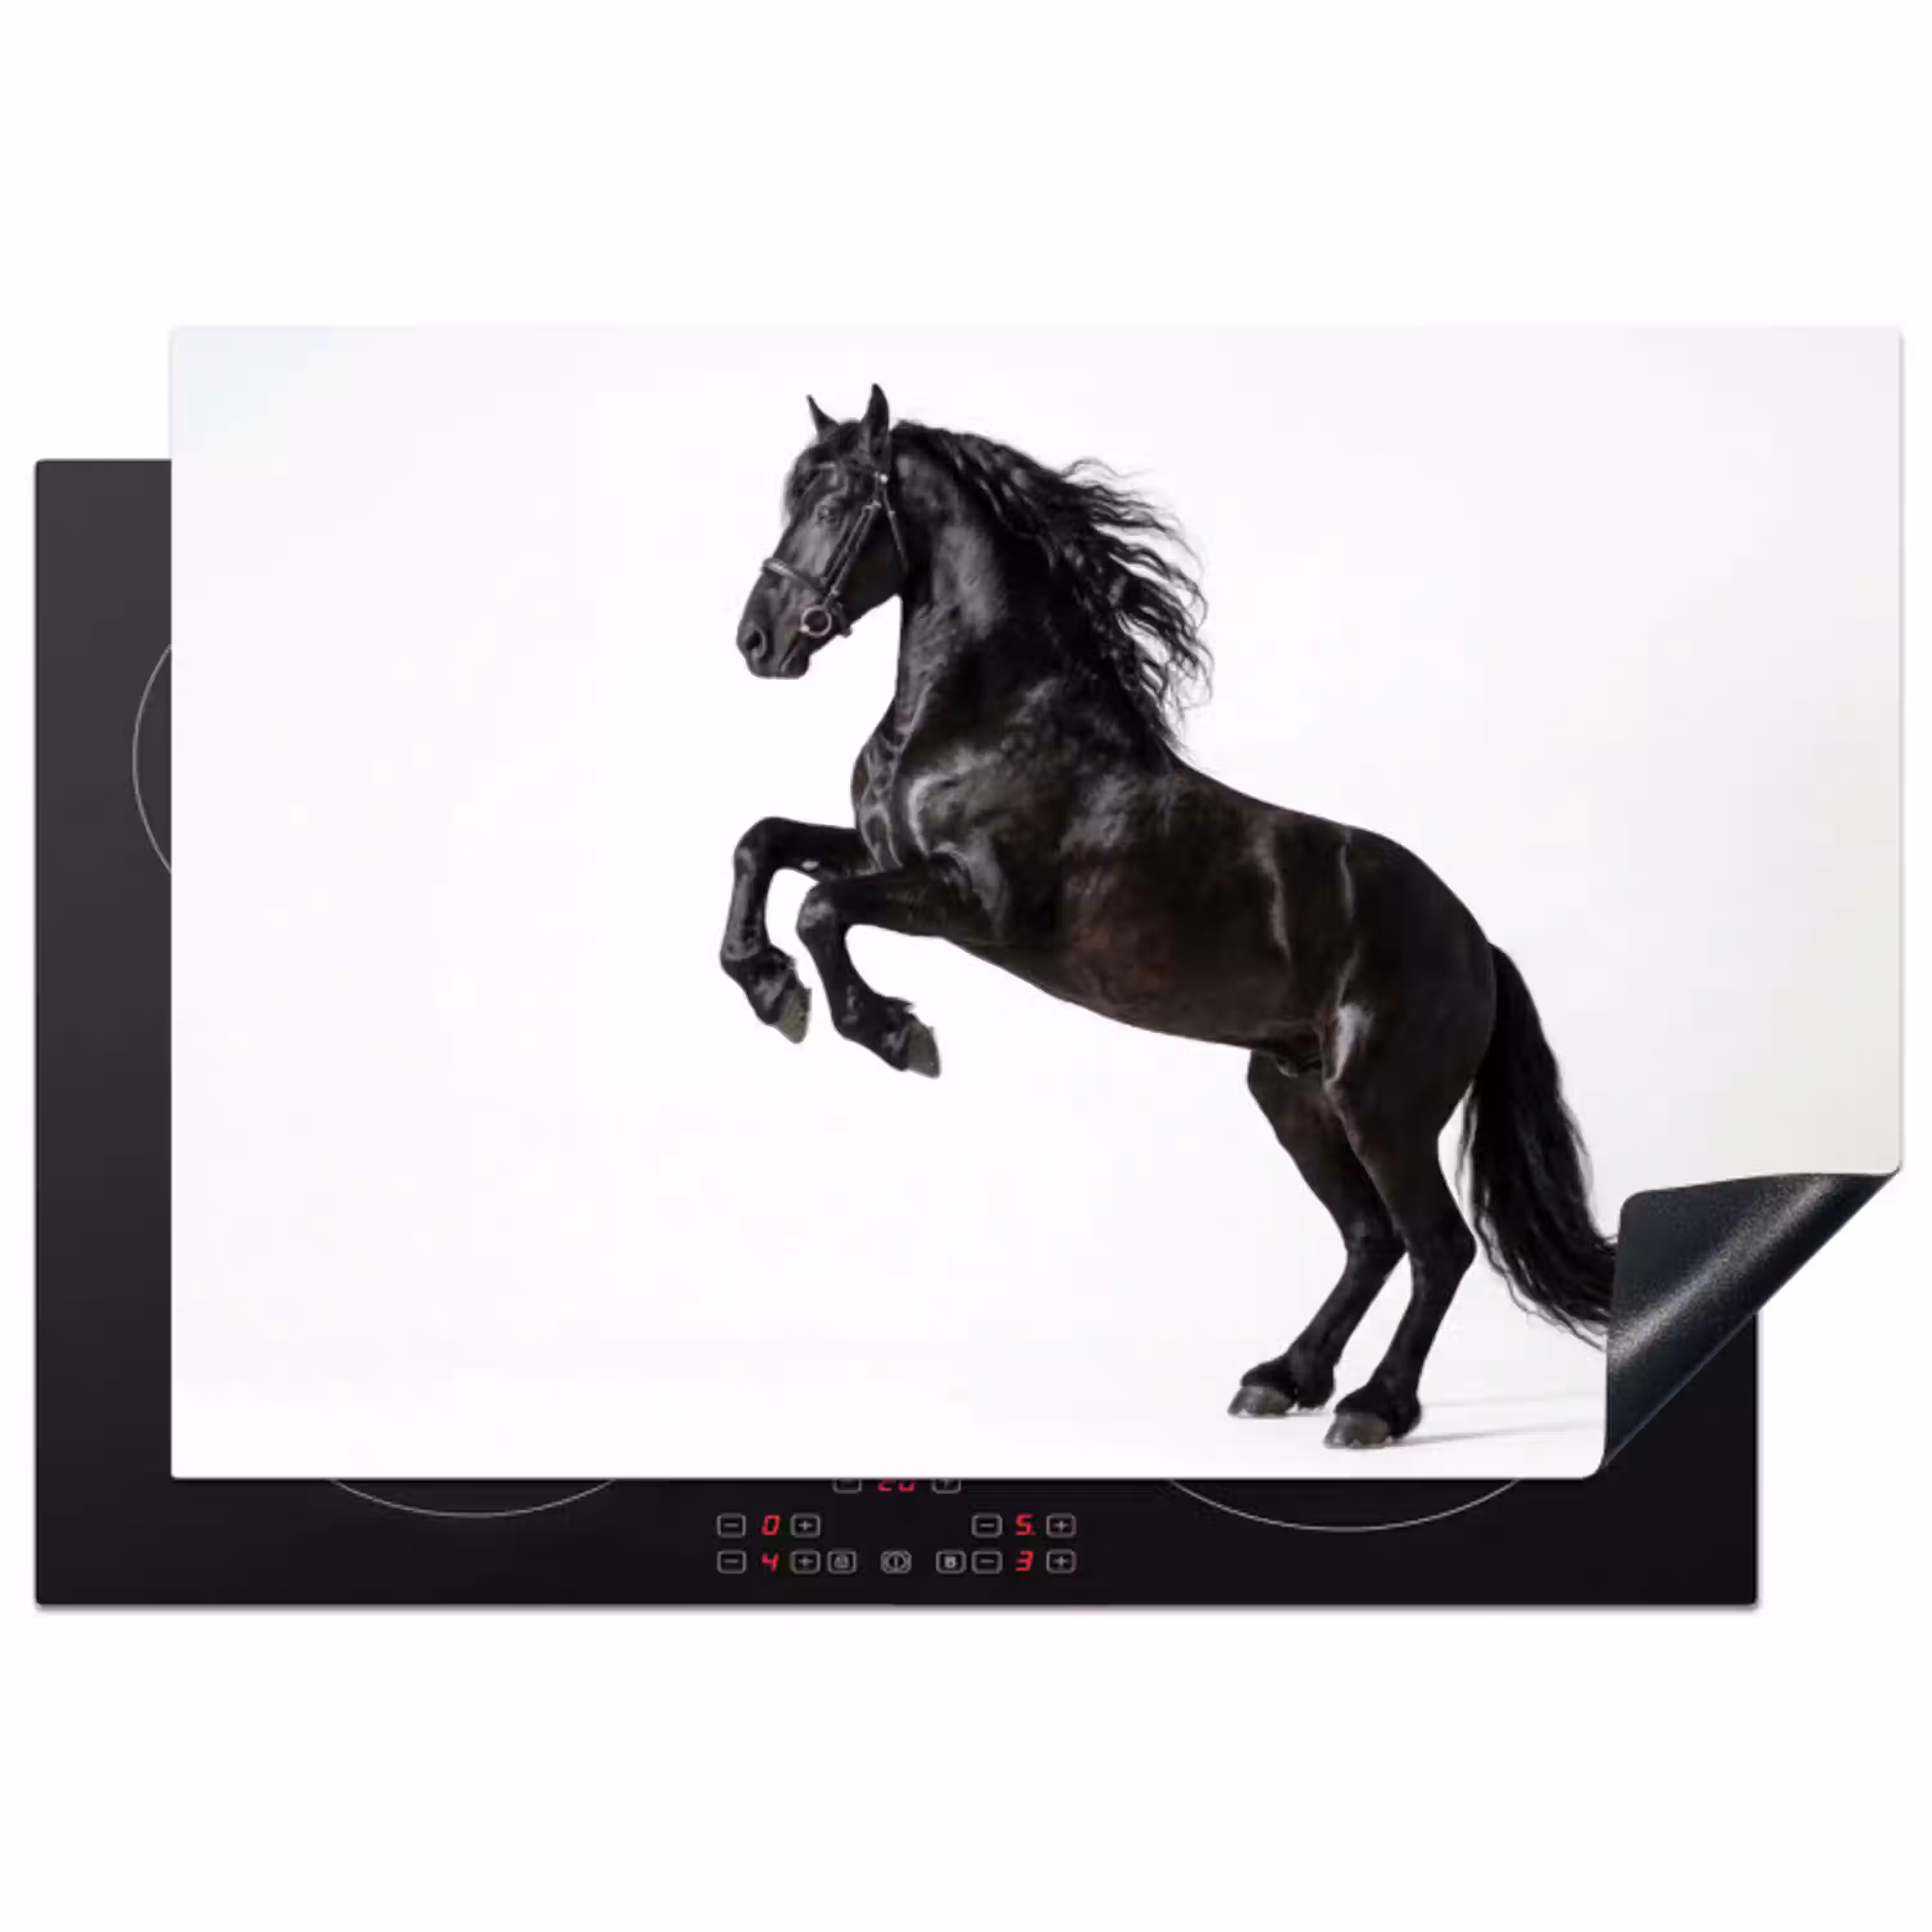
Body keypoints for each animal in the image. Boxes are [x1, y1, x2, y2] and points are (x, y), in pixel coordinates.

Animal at [721, 385, 1613, 1447]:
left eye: (836, 500)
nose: (758, 641)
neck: (984, 718)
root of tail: (1480, 947)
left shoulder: (969, 902)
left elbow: (821, 907)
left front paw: (892, 1033)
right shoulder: (884, 856)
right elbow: (764, 844)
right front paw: (769, 988)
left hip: (1382, 1105)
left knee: (1437, 1244)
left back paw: (1373, 1409)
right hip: (1294, 1096)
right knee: (1371, 1239)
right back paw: (1281, 1379)